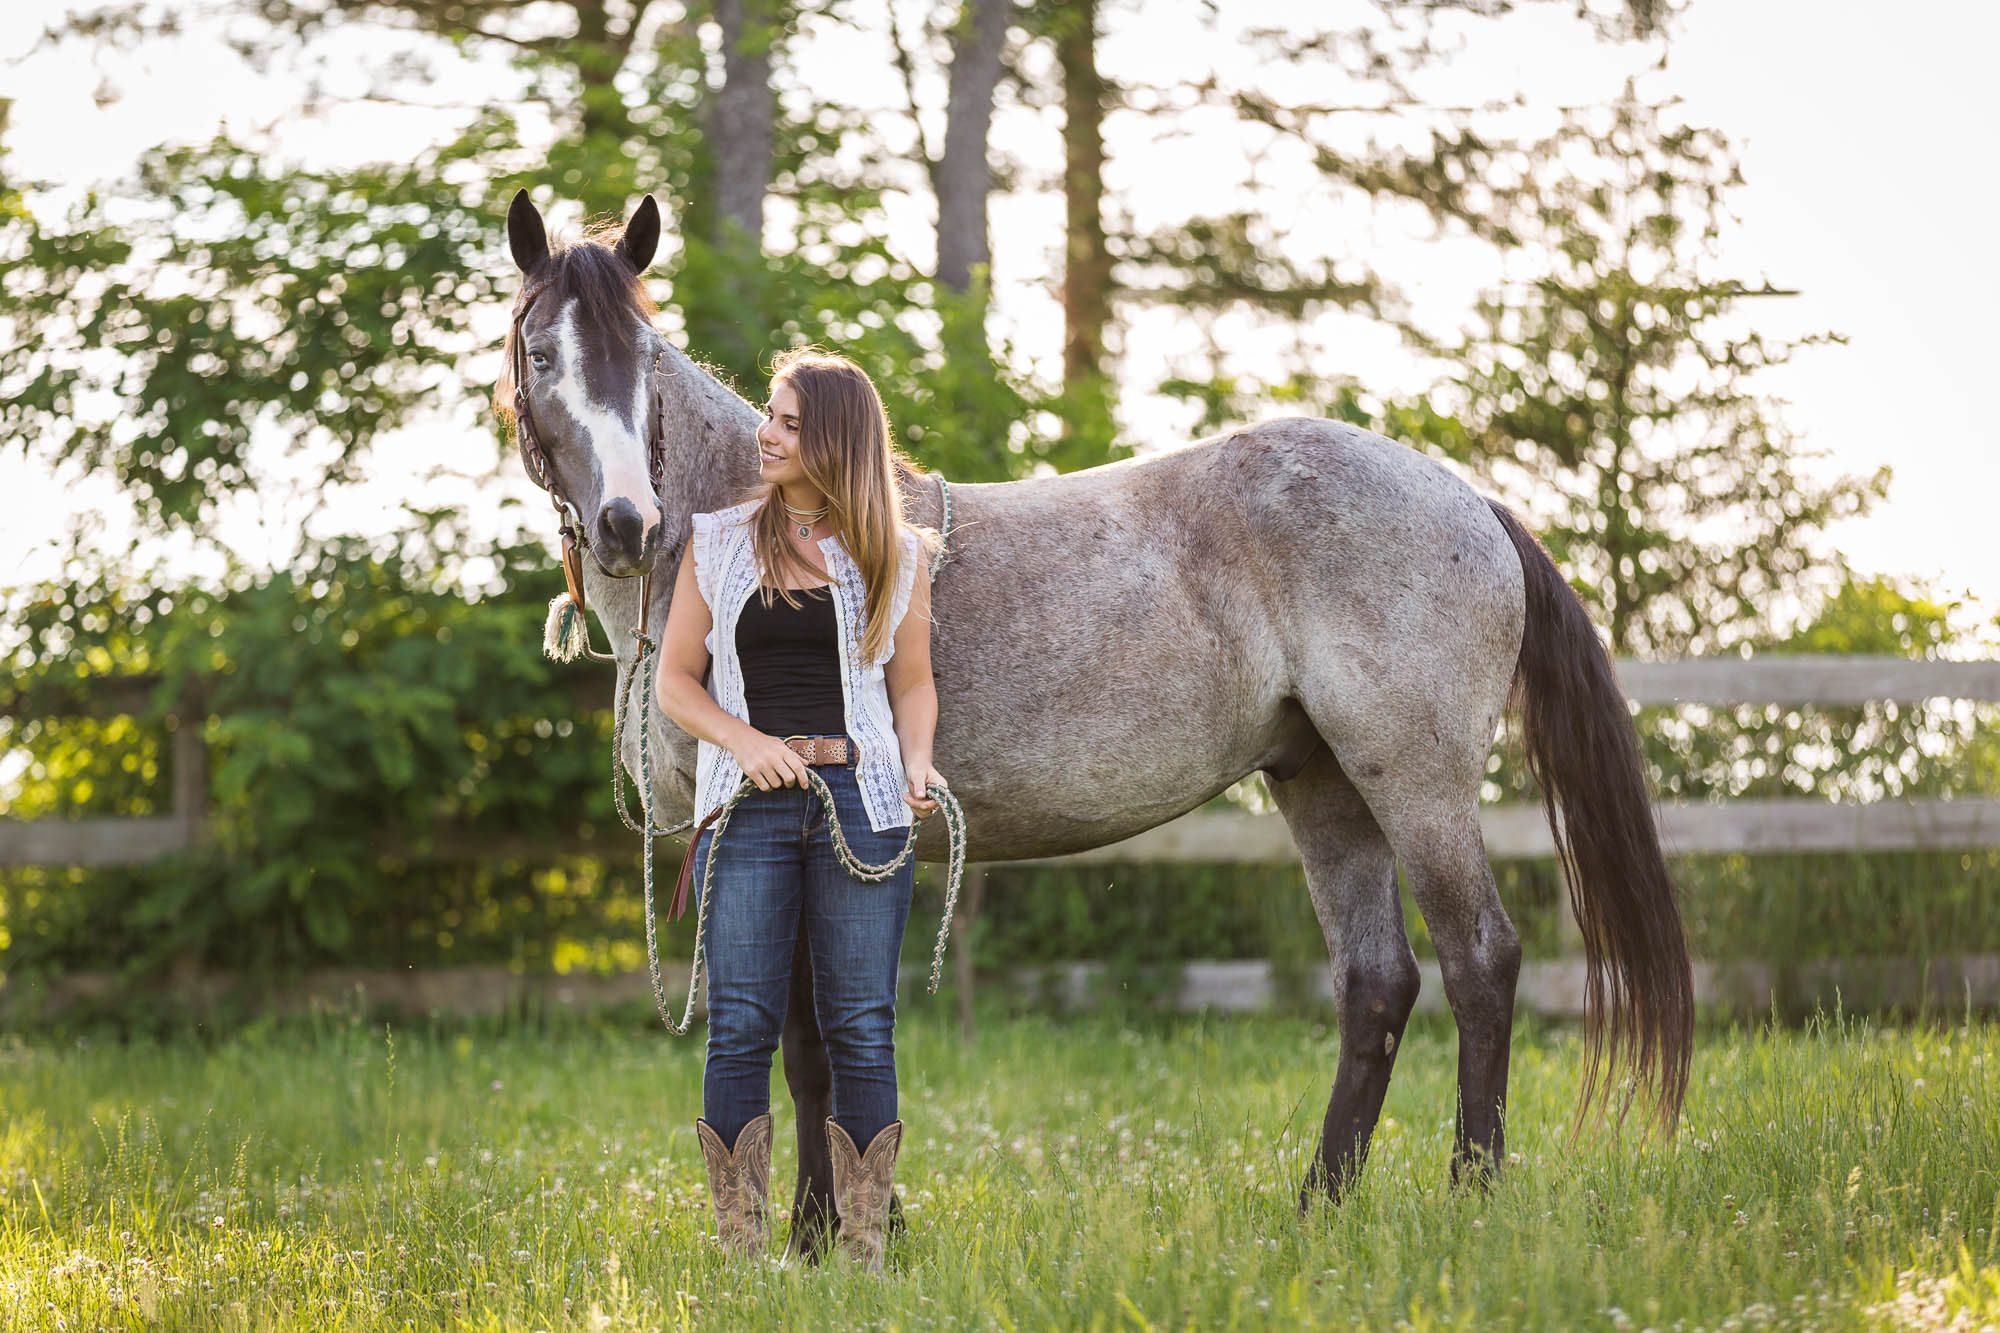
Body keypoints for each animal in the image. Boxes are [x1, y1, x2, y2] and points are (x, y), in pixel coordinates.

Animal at [495, 190, 1694, 1252]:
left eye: (645, 357)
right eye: (543, 355)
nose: (625, 522)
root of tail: (1472, 502)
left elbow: (803, 1047)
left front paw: (816, 1236)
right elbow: (817, 1047)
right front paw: (858, 1225)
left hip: (1414, 780)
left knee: (1479, 960)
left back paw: (1470, 1197)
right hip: (1322, 784)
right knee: (1377, 984)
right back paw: (1316, 1208)